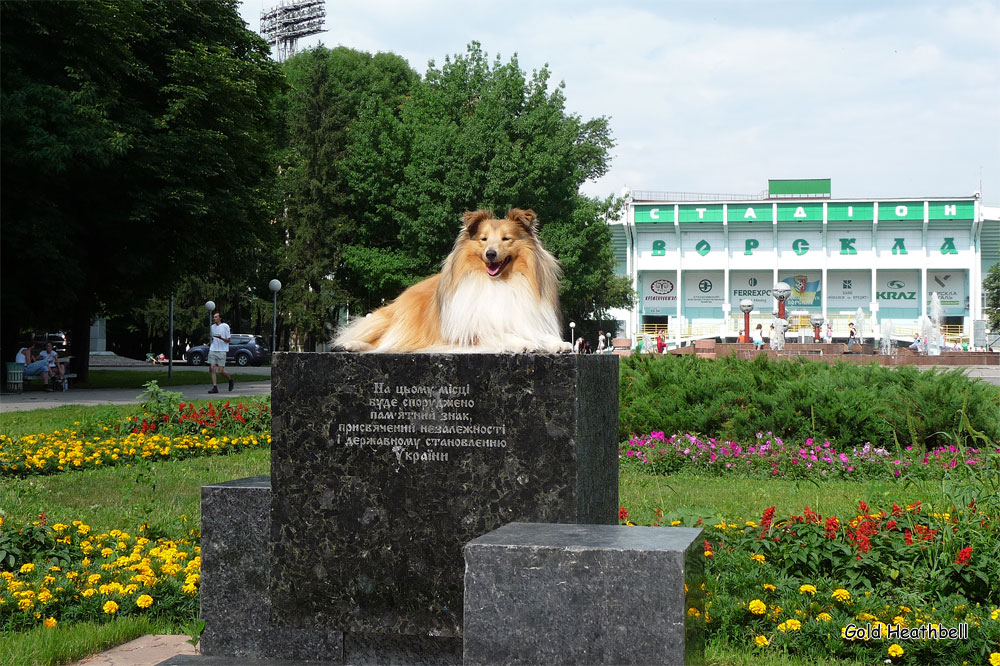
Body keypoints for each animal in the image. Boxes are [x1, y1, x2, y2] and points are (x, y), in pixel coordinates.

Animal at [334, 208, 572, 352]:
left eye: (506, 239)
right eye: (483, 239)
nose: (491, 254)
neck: (498, 283)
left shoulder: (526, 320)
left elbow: (539, 335)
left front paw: (558, 344)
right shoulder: (469, 331)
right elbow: (500, 334)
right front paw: (522, 343)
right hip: (402, 322)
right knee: (381, 341)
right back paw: (352, 344)